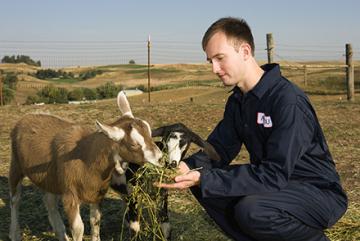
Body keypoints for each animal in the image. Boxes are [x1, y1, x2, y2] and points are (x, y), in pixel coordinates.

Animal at [7, 91, 162, 241]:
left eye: (149, 134)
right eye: (134, 144)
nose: (160, 157)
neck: (87, 158)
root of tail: (26, 117)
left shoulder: (96, 194)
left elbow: (95, 221)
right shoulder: (70, 195)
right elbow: (78, 228)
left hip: (50, 179)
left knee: (49, 202)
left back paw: (61, 234)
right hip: (16, 166)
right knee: (15, 200)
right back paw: (15, 234)